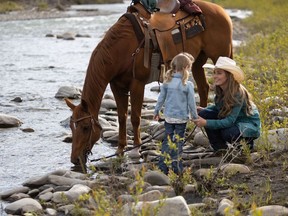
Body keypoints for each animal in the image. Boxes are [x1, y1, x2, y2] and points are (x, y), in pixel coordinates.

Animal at [66, 0, 234, 165]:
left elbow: (135, 117)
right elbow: (122, 117)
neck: (121, 49)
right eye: (71, 126)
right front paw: (120, 150)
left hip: (220, 55)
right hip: (198, 62)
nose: (75, 159)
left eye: (86, 127)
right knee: (204, 88)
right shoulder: (117, 86)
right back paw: (198, 127)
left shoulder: (137, 84)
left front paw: (135, 150)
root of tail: (221, 11)